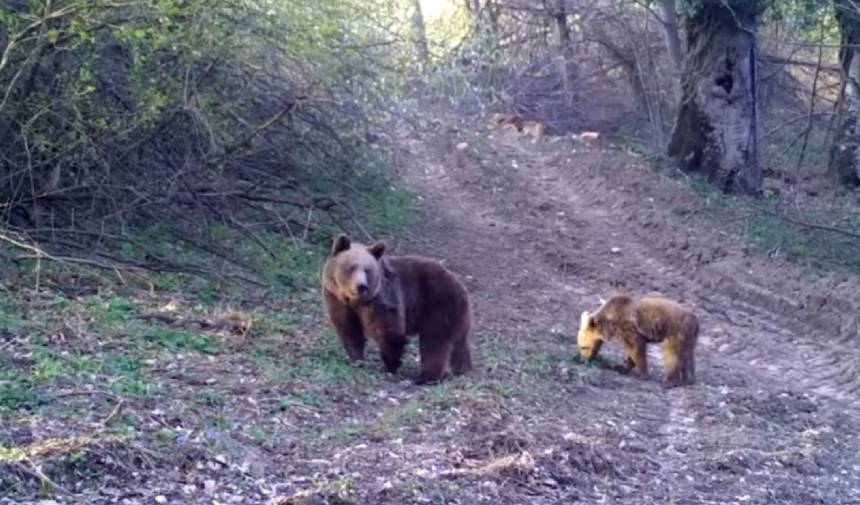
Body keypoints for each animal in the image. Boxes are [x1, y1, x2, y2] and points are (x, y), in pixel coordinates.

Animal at [320, 234, 474, 384]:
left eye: (367, 270)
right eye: (351, 267)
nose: (361, 286)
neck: (357, 301)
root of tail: (461, 285)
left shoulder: (384, 298)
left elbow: (390, 330)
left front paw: (390, 366)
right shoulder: (337, 299)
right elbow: (349, 329)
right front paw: (356, 359)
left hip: (439, 305)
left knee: (434, 342)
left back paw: (426, 378)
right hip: (457, 316)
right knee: (460, 345)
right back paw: (462, 370)